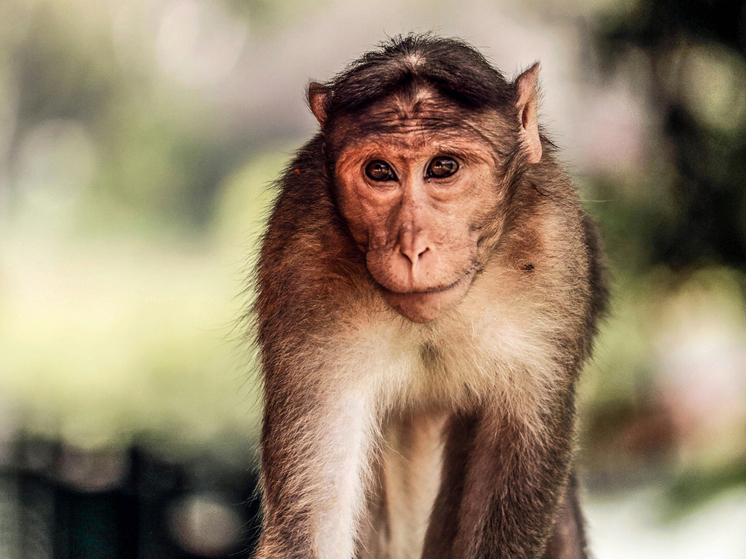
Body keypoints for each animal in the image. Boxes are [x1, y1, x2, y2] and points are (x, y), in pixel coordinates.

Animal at [250, 35, 604, 559]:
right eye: (380, 171)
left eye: (443, 167)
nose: (412, 246)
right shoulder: (302, 261)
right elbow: (310, 519)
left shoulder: (553, 251)